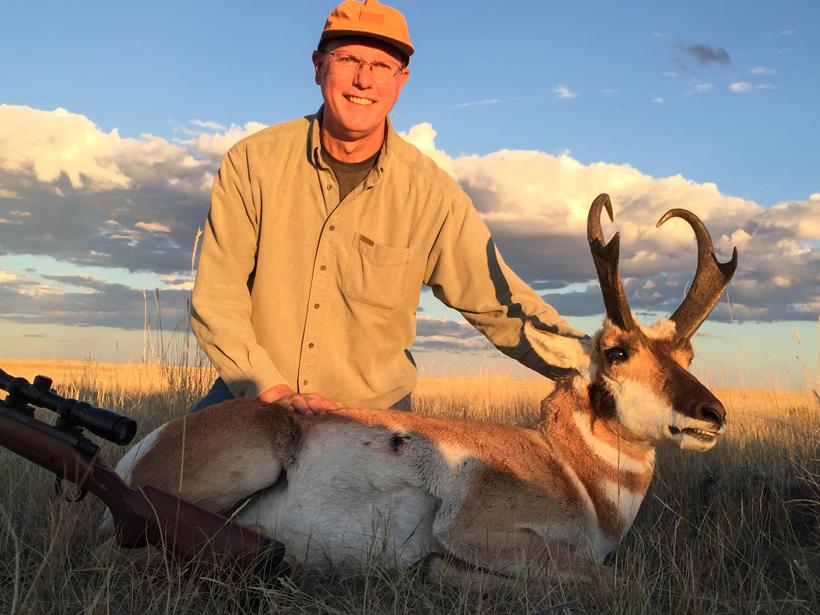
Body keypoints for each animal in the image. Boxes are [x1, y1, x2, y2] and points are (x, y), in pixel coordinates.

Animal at [109, 194, 737, 590]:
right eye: (618, 352)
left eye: (687, 357)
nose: (713, 413)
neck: (565, 467)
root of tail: (142, 448)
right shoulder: (477, 531)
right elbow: (610, 581)